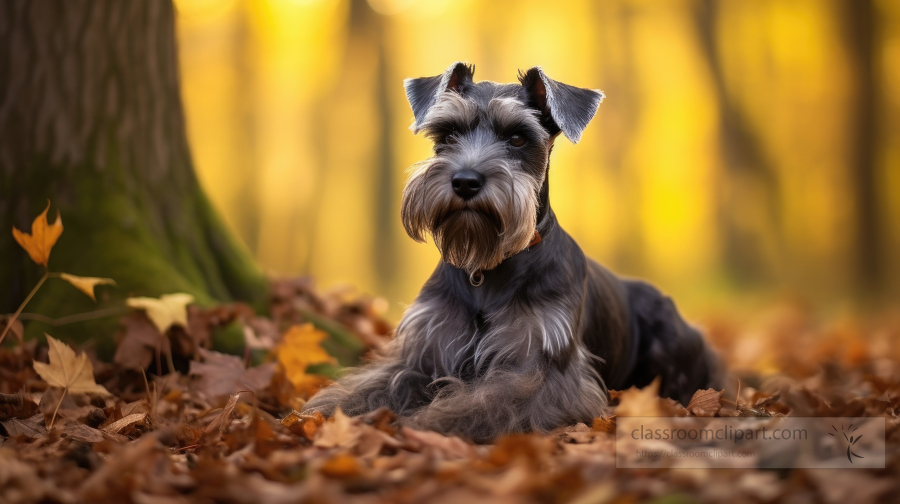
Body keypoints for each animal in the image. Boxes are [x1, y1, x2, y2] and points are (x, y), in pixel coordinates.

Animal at [304, 62, 724, 440]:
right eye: (449, 132)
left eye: (518, 138)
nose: (465, 181)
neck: (486, 268)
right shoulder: (426, 350)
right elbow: (375, 383)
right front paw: (326, 409)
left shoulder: (542, 367)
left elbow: (491, 401)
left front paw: (432, 423)